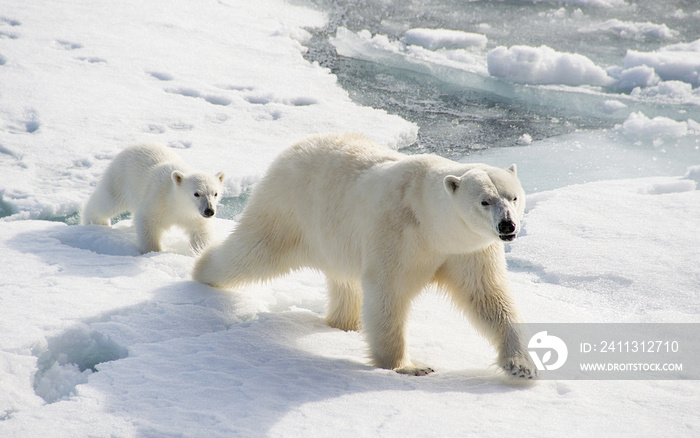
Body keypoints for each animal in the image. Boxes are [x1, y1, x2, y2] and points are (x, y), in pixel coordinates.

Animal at [197, 132, 536, 378]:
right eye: (484, 201)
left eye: (513, 197)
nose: (507, 225)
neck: (430, 221)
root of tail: (293, 147)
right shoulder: (397, 233)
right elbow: (388, 291)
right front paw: (407, 366)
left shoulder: (469, 249)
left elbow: (489, 297)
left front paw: (522, 366)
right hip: (288, 209)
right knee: (251, 252)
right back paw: (201, 270)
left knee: (344, 283)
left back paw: (347, 323)